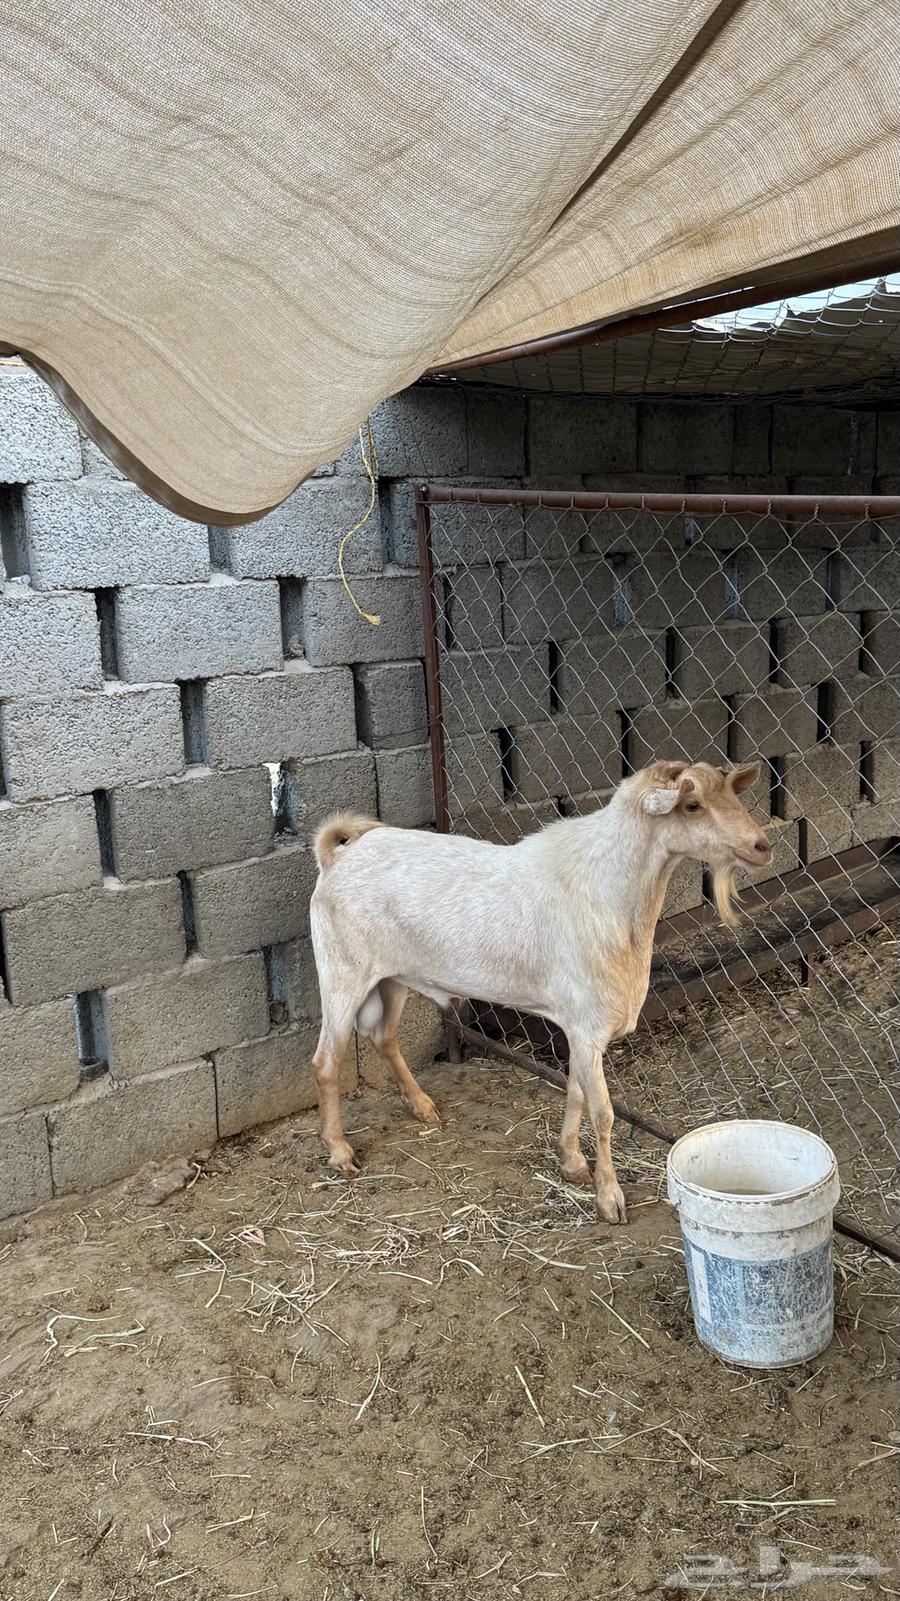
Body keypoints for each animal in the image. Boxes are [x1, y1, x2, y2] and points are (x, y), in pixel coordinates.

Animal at [310, 759, 771, 1223]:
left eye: (730, 793)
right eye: (692, 806)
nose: (762, 846)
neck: (610, 894)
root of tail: (337, 856)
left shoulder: (578, 1028)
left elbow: (577, 1092)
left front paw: (573, 1163)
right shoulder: (587, 1025)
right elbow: (602, 1112)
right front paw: (609, 1198)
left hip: (393, 977)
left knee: (385, 1038)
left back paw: (422, 1106)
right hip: (342, 972)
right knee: (326, 1061)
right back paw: (340, 1152)